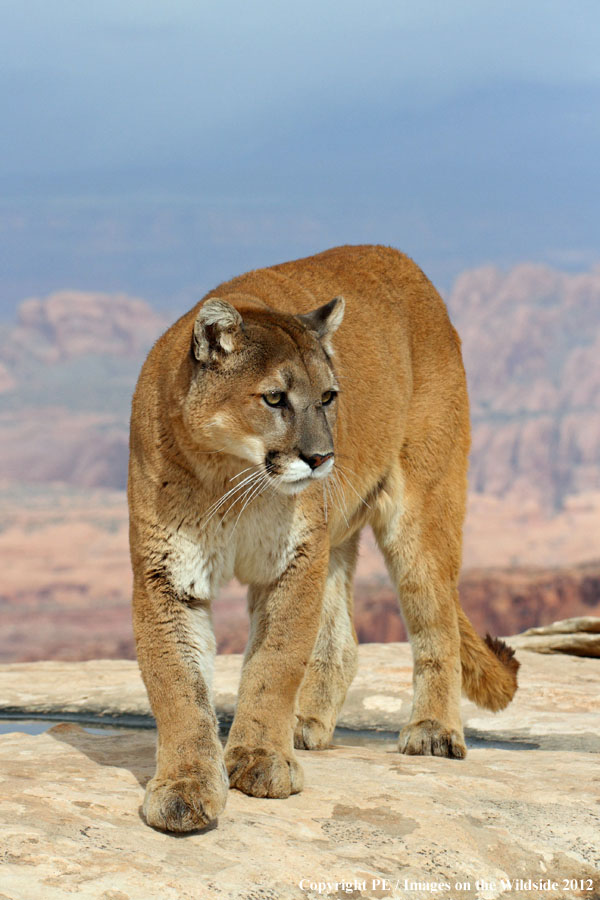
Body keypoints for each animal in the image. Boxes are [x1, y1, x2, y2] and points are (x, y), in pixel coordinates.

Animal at [129, 244, 516, 828]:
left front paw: (261, 759)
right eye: (274, 399)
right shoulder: (167, 575)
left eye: (329, 396)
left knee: (437, 621)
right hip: (332, 542)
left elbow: (277, 662)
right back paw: (305, 724)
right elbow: (178, 684)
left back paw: (432, 732)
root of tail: (401, 259)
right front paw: (185, 786)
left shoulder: (295, 560)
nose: (320, 457)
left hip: (422, 510)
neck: (228, 476)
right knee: (343, 642)